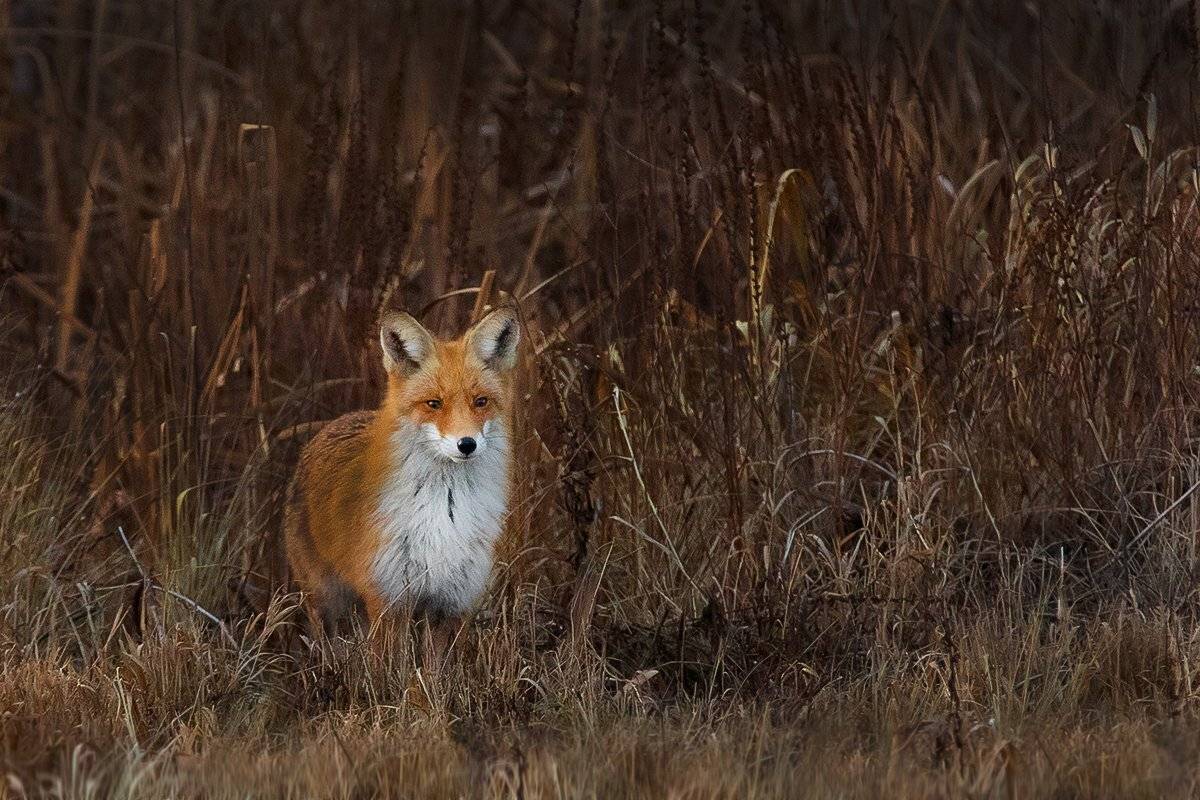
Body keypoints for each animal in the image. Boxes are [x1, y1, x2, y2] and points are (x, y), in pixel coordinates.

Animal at [284, 305, 520, 654]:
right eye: (434, 403)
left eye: (481, 401)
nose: (466, 444)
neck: (445, 508)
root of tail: (339, 420)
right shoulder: (388, 599)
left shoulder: (449, 603)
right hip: (327, 602)